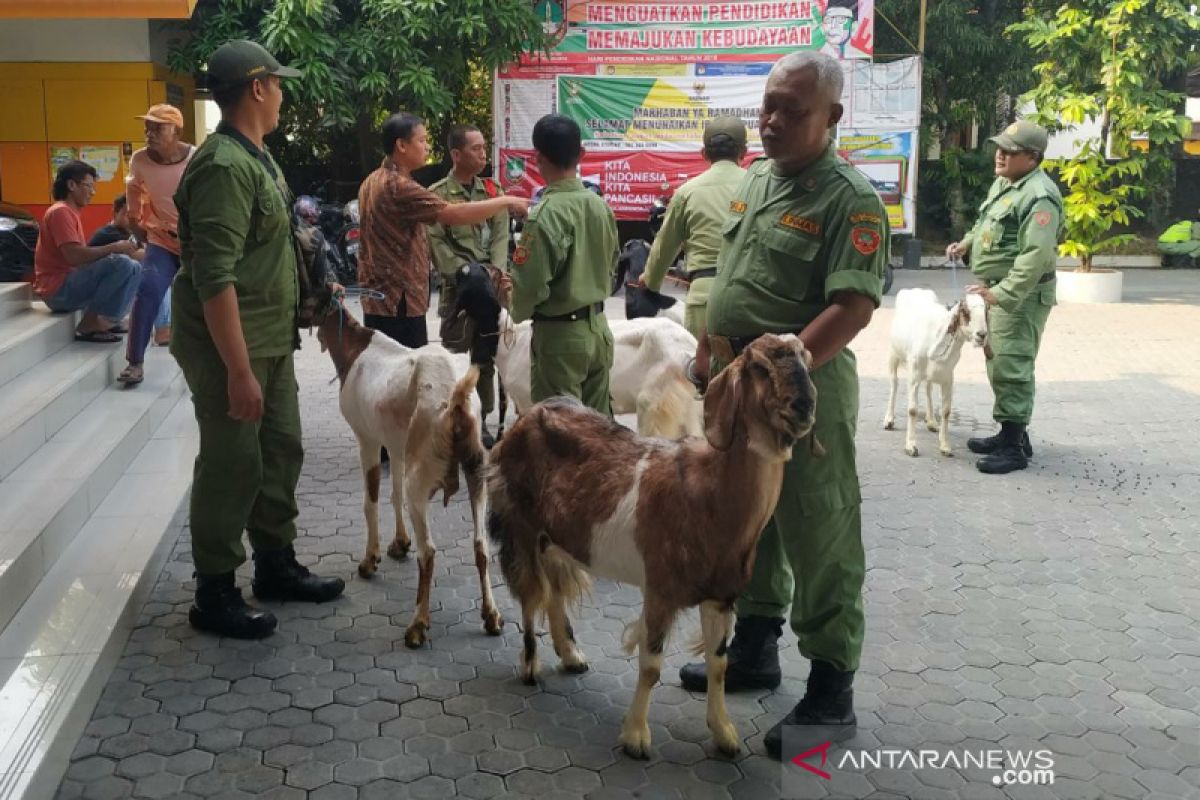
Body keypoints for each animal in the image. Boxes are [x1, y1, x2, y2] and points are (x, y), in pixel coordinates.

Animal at [314, 293, 501, 652]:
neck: (356, 347)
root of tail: (455, 402)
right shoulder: (397, 446)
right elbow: (393, 493)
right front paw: (399, 543)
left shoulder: (368, 439)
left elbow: (371, 500)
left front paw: (370, 559)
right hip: (476, 473)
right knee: (480, 545)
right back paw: (491, 616)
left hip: (423, 478)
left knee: (428, 552)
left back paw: (417, 625)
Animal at [484, 335, 816, 762]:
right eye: (759, 367)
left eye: (807, 359)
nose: (804, 406)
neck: (710, 493)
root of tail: (525, 420)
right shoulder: (660, 589)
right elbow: (652, 665)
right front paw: (636, 737)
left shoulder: (720, 597)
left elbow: (718, 665)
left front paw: (725, 734)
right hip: (521, 526)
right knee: (531, 593)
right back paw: (530, 666)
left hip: (556, 538)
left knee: (554, 590)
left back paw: (572, 657)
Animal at [888, 289, 988, 455]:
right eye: (965, 311)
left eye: (986, 311)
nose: (982, 335)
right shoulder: (914, 375)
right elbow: (912, 410)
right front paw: (911, 445)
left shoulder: (948, 378)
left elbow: (946, 411)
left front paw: (945, 446)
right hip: (893, 355)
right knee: (894, 384)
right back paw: (889, 419)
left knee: (928, 388)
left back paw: (931, 422)